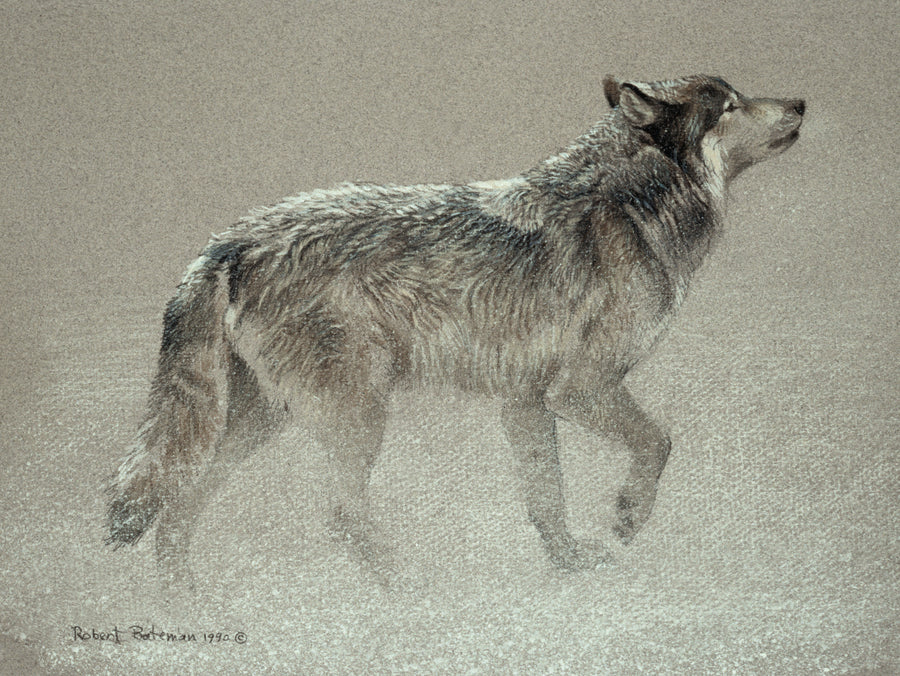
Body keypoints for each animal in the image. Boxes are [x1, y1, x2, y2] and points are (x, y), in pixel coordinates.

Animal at [106, 75, 804, 586]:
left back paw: (189, 603)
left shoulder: (527, 403)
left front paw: (571, 568)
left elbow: (547, 501)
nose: (802, 101)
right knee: (339, 515)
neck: (632, 204)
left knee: (176, 509)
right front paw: (628, 517)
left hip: (258, 422)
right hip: (356, 415)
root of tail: (229, 243)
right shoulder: (582, 389)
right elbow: (658, 443)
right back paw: (409, 588)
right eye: (731, 104)